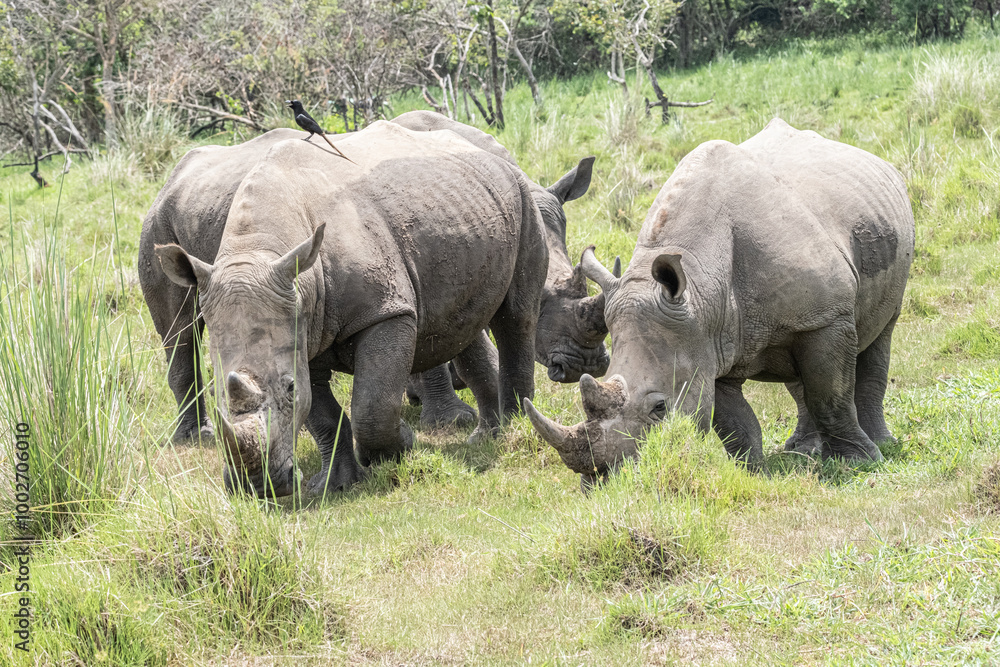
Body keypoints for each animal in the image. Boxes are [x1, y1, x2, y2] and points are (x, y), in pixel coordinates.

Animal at [150, 121, 546, 497]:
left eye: (289, 388)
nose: (258, 487)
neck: (261, 248)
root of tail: (481, 145)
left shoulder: (385, 311)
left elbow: (372, 405)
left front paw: (400, 446)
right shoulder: (301, 329)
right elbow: (322, 416)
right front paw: (334, 484)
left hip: (522, 193)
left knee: (515, 317)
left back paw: (514, 427)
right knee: (462, 322)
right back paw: (486, 435)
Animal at [524, 119, 915, 489]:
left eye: (659, 408)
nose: (601, 479)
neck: (699, 289)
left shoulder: (826, 317)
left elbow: (830, 395)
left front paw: (857, 463)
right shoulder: (705, 340)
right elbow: (733, 421)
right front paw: (752, 472)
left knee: (879, 336)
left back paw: (880, 444)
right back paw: (801, 451)